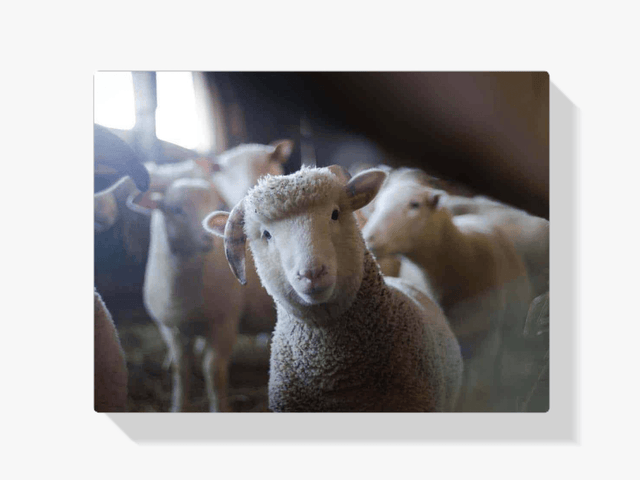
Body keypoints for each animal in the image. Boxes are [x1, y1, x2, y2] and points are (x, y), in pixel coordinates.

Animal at [132, 177, 276, 412]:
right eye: (176, 209)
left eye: (215, 204)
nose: (209, 238)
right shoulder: (170, 328)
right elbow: (180, 369)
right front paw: (178, 407)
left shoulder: (225, 322)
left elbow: (213, 370)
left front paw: (220, 409)